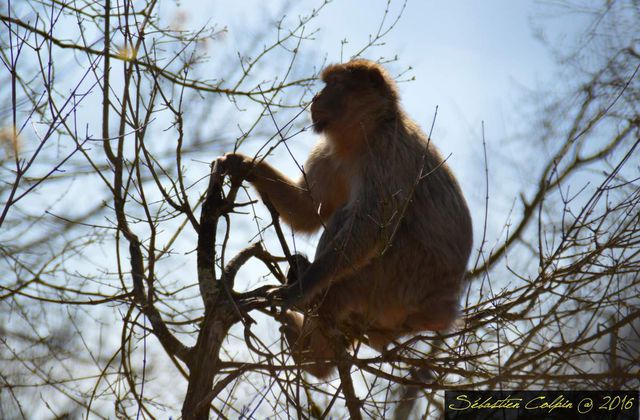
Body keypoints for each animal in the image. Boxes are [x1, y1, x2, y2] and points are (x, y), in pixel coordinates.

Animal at [218, 58, 472, 378]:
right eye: (327, 83)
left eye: (336, 84)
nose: (316, 98)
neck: (364, 134)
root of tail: (441, 310)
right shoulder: (328, 154)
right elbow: (306, 210)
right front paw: (243, 165)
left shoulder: (385, 153)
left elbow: (373, 227)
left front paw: (302, 288)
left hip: (398, 283)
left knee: (351, 222)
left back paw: (316, 303)